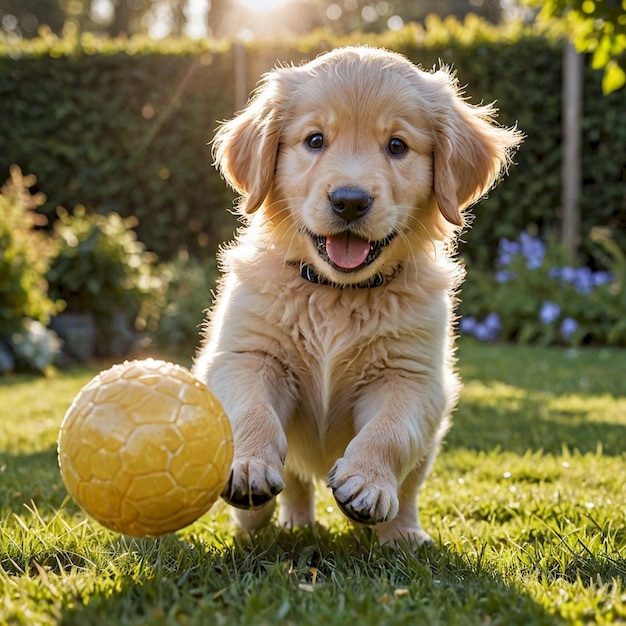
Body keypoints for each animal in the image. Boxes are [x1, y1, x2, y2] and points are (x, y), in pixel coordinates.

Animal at [193, 46, 520, 544]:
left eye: (397, 146)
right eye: (314, 140)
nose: (349, 201)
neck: (337, 293)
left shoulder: (411, 377)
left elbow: (390, 432)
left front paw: (366, 482)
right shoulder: (247, 354)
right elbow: (252, 410)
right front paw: (248, 466)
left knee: (408, 488)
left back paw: (402, 534)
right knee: (294, 482)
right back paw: (267, 519)